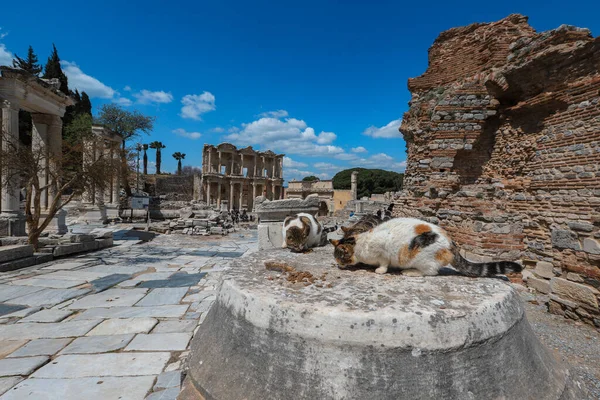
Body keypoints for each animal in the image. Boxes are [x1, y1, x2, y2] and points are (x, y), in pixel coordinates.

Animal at [330, 217, 524, 276]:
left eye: (340, 257)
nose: (338, 265)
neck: (359, 243)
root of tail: (452, 245)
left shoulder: (383, 251)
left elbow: (383, 263)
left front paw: (379, 270)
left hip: (423, 259)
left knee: (431, 272)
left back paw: (410, 272)